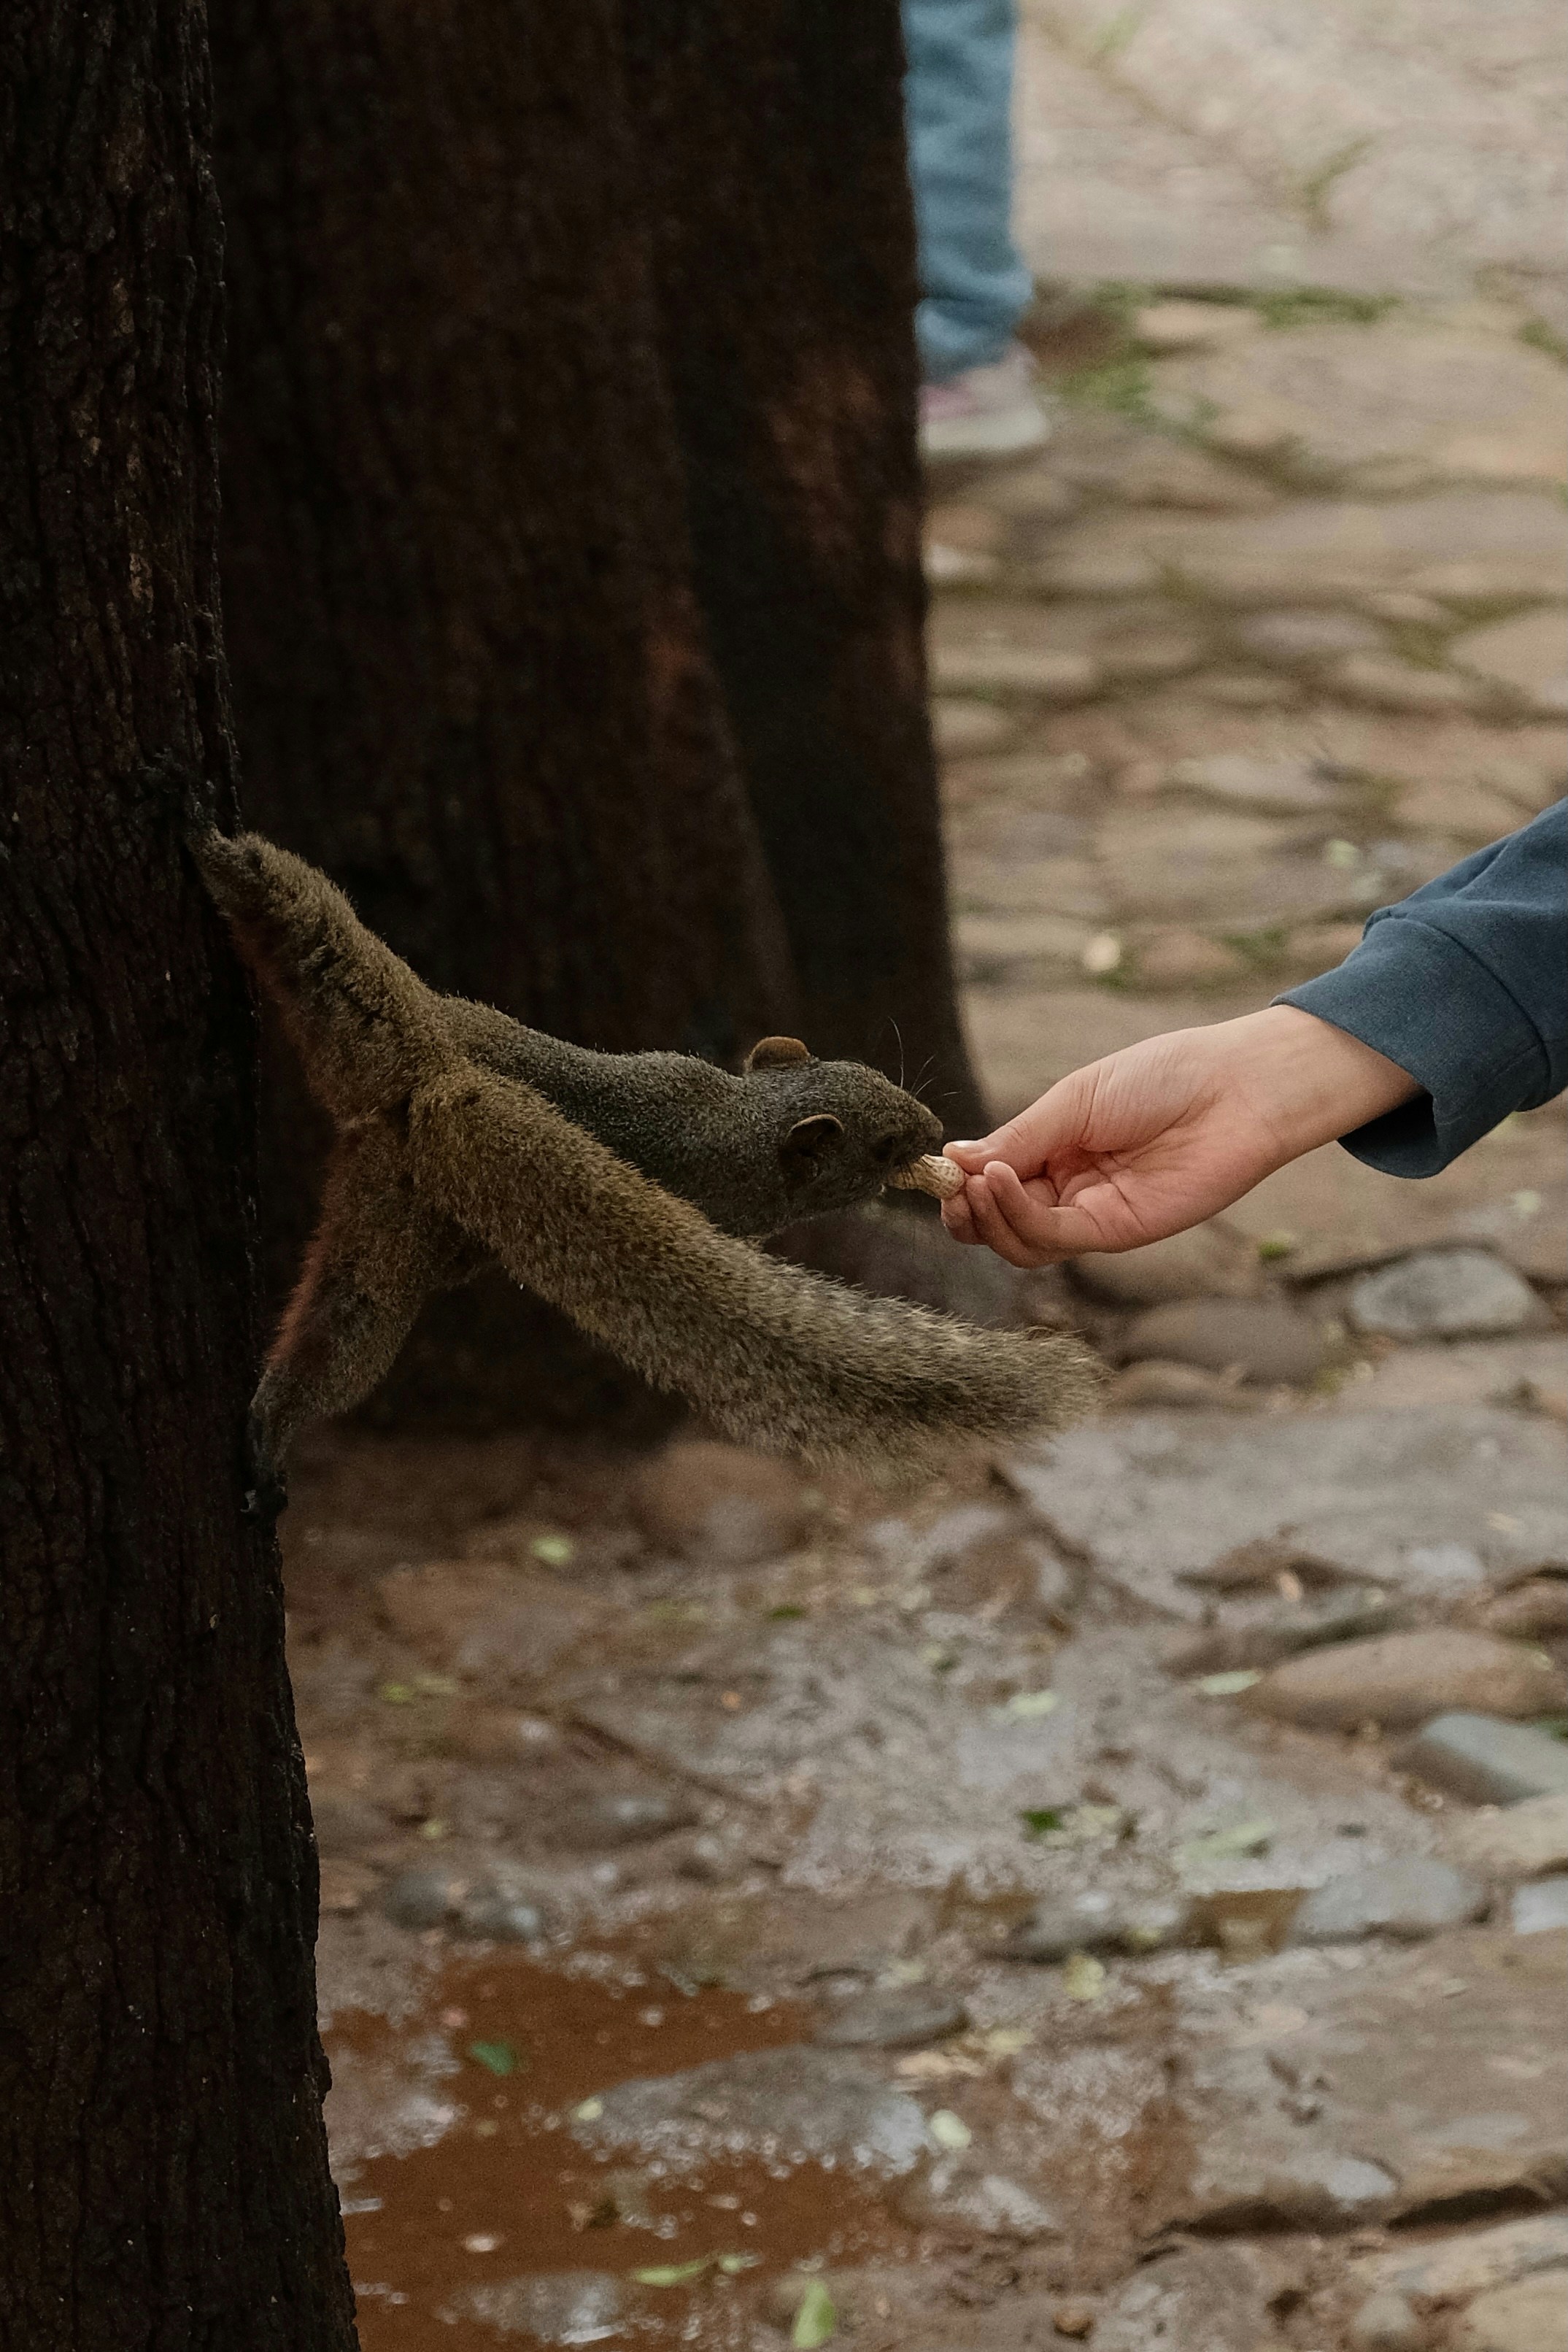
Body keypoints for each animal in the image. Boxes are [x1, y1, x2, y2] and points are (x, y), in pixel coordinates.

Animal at [188, 826, 1100, 1508]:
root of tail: (440, 1079)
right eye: (879, 1144)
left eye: (876, 1072)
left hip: (381, 1191)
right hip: (395, 1226)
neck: (728, 1121)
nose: (935, 1128)